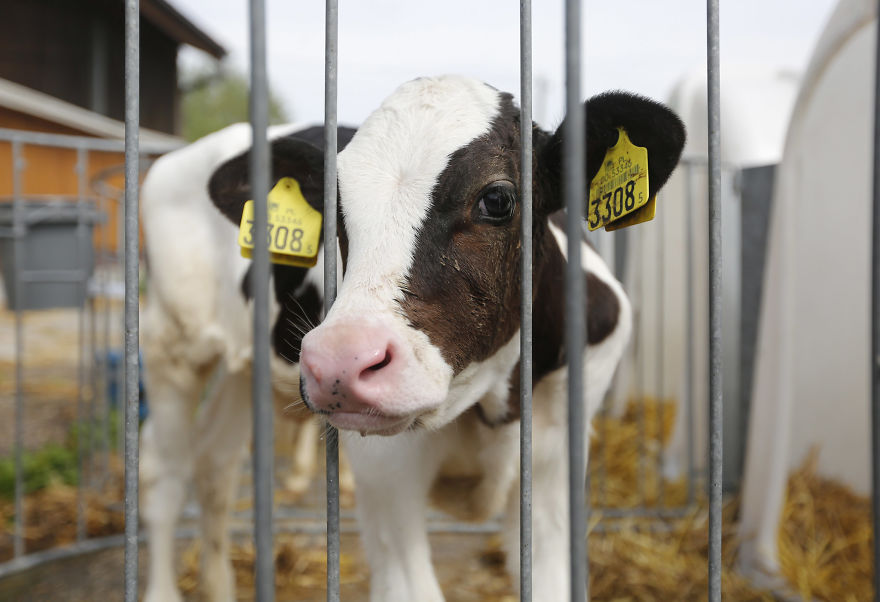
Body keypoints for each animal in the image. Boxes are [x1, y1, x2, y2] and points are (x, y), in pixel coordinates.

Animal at [138, 121, 356, 602]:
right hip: (173, 344)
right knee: (164, 469)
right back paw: (162, 590)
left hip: (245, 366)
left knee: (215, 460)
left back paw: (218, 585)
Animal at [208, 75, 685, 601]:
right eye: (335, 211)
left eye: (497, 199)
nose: (339, 361)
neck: (492, 404)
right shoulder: (384, 471)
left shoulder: (557, 461)